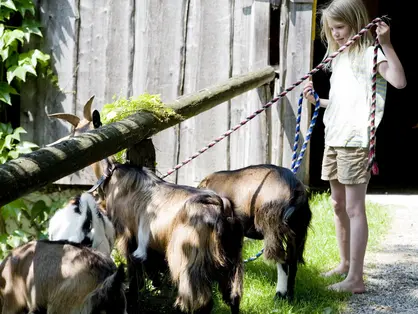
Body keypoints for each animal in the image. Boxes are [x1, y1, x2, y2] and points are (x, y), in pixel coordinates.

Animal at [96, 158, 243, 312]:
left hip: (189, 260)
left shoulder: (130, 241)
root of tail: (221, 208)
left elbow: (135, 274)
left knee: (201, 302)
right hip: (232, 260)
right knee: (233, 297)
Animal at [198, 164, 312, 300]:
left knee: (282, 261)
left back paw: (279, 295)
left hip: (272, 228)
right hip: (296, 232)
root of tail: (294, 187)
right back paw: (290, 297)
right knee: (292, 262)